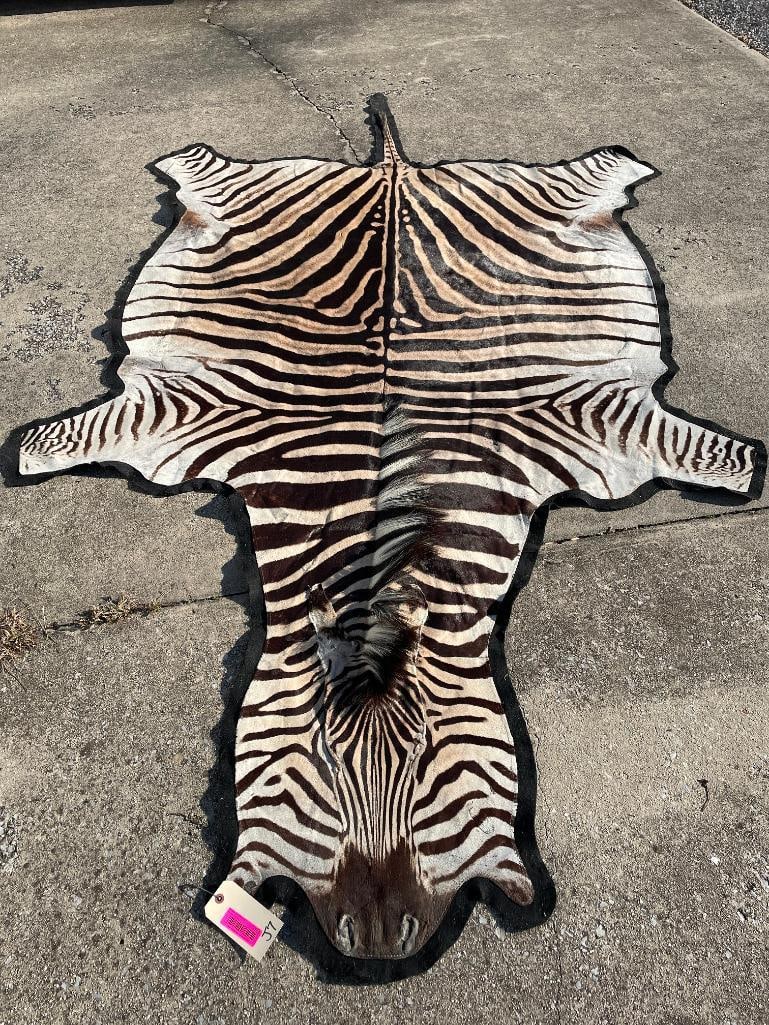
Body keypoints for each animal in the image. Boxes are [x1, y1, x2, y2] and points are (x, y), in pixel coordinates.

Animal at [18, 95, 762, 966]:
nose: (375, 944)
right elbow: (68, 437)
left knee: (595, 174)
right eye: (319, 764)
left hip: (550, 199)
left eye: (430, 762)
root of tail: (393, 170)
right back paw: (181, 162)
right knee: (201, 169)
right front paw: (26, 452)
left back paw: (619, 166)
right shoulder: (181, 412)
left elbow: (710, 452)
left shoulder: (596, 419)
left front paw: (746, 468)